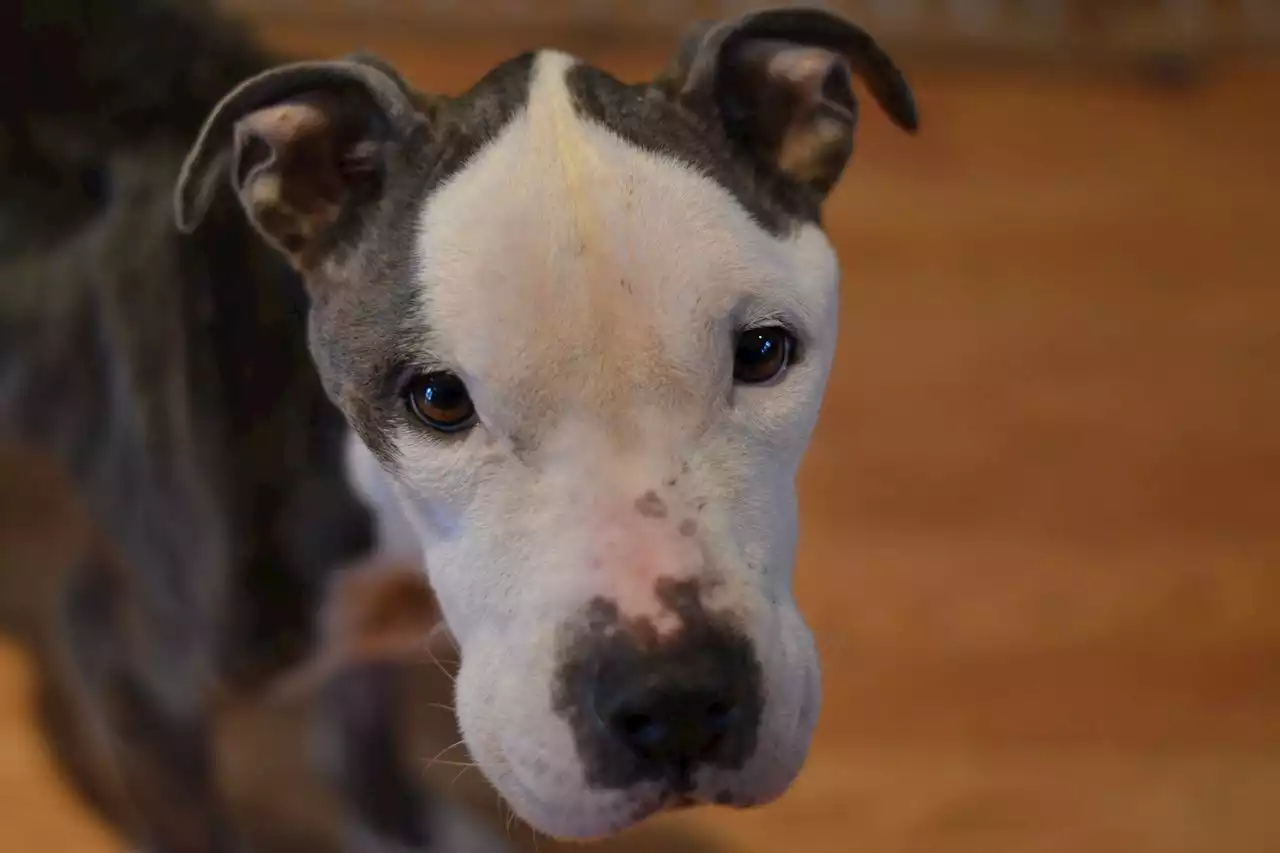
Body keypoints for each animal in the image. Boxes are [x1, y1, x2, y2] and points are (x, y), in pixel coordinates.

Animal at [5, 0, 916, 845]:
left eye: (763, 352)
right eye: (439, 399)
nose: (679, 700)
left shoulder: (374, 642)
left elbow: (365, 744)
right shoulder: (127, 677)